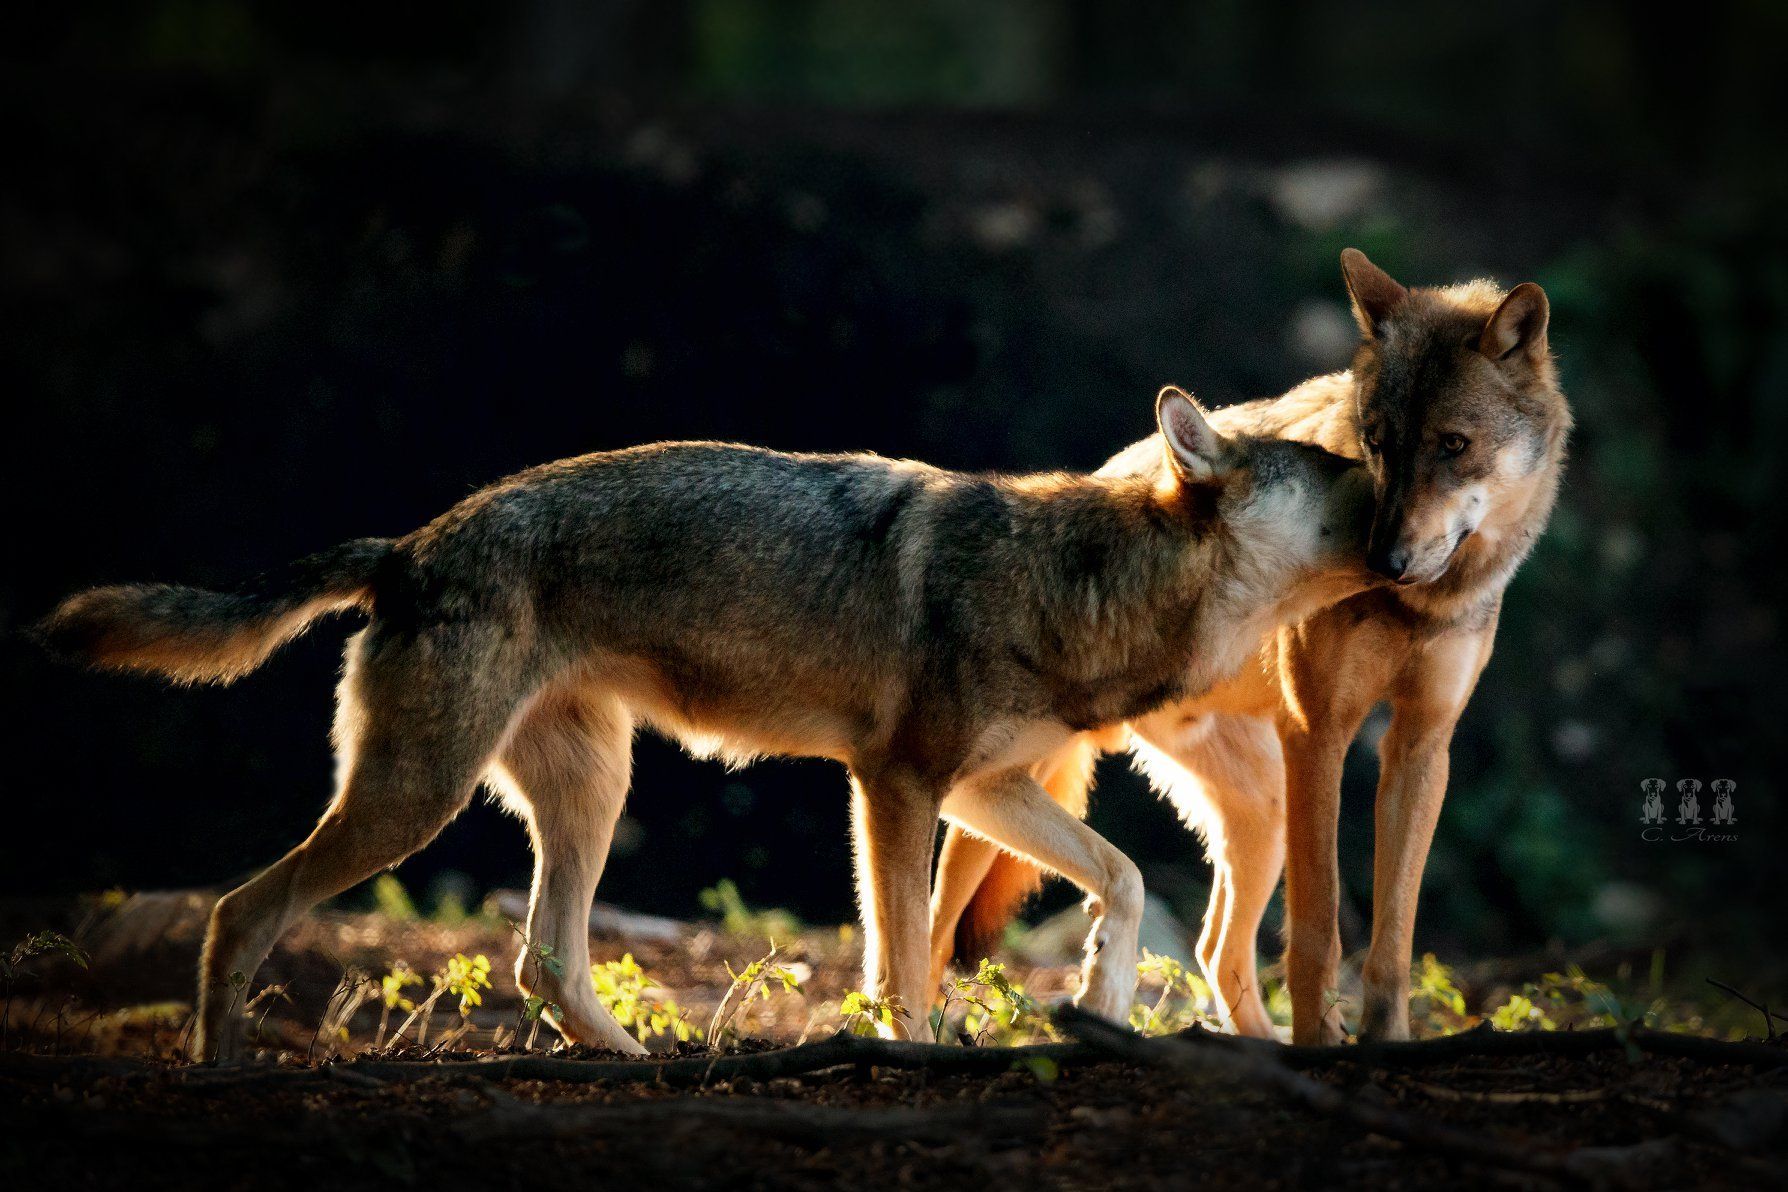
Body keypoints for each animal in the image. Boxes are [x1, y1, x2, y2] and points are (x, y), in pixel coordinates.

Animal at [39, 387, 1373, 1061]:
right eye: (1330, 466)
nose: (1399, 491)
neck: (1078, 582)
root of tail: (412, 544)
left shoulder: (980, 789)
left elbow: (1125, 880)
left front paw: (1100, 999)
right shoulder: (895, 786)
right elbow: (904, 958)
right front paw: (914, 1052)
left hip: (586, 792)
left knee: (540, 956)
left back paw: (636, 1065)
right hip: (415, 799)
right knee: (241, 910)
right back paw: (221, 1069)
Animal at [932, 250, 1571, 1044]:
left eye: (1453, 445)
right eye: (1379, 442)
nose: (1384, 559)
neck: (1420, 606)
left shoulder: (1421, 743)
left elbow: (1392, 938)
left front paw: (1383, 1042)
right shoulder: (1319, 733)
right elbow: (1318, 932)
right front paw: (1323, 1044)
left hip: (1260, 813)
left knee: (1214, 946)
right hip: (1000, 792)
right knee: (927, 930)